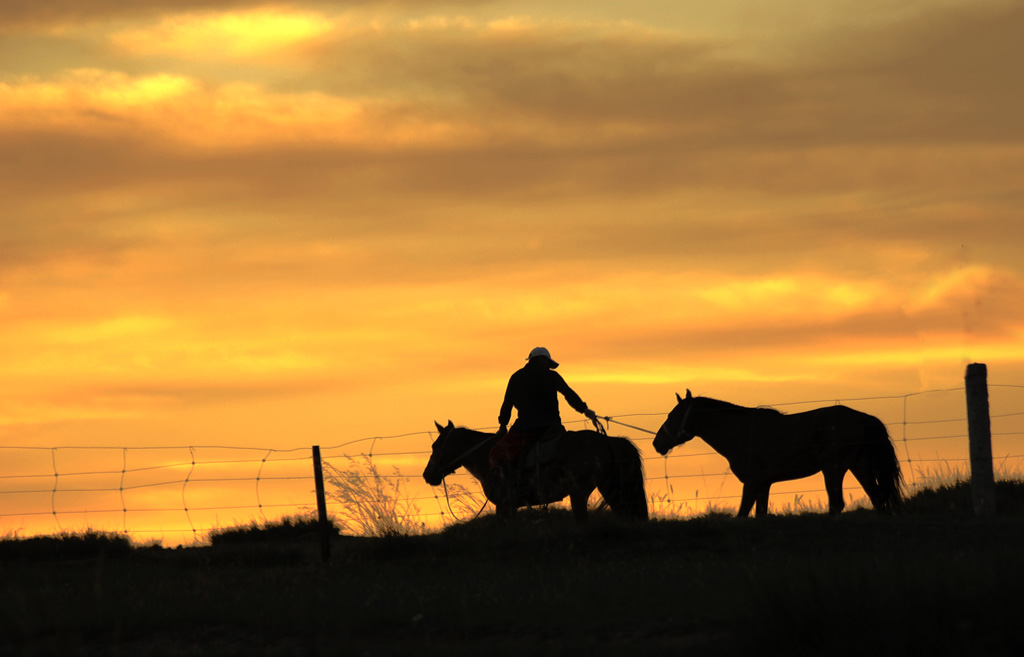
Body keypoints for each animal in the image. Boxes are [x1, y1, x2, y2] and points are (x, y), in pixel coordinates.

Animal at [421, 419, 647, 521]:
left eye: (436, 446)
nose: (427, 475)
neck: (486, 455)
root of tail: (609, 440)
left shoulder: (504, 505)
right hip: (612, 488)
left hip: (581, 492)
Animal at [655, 388, 905, 515]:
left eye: (673, 415)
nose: (657, 443)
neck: (741, 432)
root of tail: (863, 418)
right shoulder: (764, 485)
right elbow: (760, 514)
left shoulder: (752, 483)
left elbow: (743, 513)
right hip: (859, 467)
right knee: (877, 497)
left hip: (833, 468)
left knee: (838, 504)